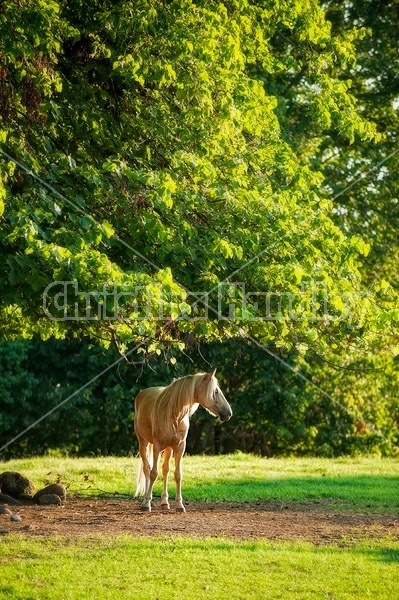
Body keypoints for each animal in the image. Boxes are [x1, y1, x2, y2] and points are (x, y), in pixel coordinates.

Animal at [134, 370, 233, 510]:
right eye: (216, 391)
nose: (228, 413)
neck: (174, 414)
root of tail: (142, 393)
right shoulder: (157, 446)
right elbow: (153, 473)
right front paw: (147, 502)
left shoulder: (180, 446)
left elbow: (177, 474)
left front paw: (180, 505)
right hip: (143, 443)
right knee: (147, 469)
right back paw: (146, 500)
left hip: (168, 448)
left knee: (165, 470)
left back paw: (165, 502)